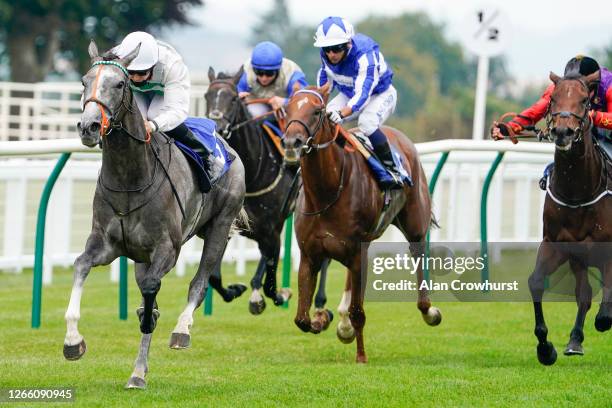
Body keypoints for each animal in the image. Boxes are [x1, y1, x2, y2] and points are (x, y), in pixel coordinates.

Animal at [62, 41, 244, 388]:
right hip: (140, 257)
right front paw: (73, 341)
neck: (129, 178)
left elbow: (151, 296)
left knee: (199, 283)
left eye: (120, 84)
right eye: (83, 81)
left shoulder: (167, 249)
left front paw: (148, 335)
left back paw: (180, 330)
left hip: (221, 224)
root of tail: (227, 146)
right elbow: (80, 266)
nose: (88, 126)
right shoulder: (106, 245)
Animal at [204, 68, 330, 314]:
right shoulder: (232, 226)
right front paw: (236, 290)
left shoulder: (271, 230)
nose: (217, 127)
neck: (255, 172)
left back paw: (319, 302)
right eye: (207, 96)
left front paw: (282, 294)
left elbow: (272, 285)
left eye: (233, 99)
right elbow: (214, 277)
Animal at [282, 83, 440, 364]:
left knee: (418, 254)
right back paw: (342, 323)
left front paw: (361, 356)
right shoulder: (310, 254)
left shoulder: (359, 253)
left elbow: (359, 311)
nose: (292, 143)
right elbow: (301, 319)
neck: (327, 191)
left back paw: (428, 310)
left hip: (414, 223)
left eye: (317, 111)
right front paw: (323, 319)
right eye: (287, 108)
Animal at [528, 70, 608, 366]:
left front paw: (605, 318)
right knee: (583, 295)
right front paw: (545, 348)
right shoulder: (558, 244)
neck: (578, 192)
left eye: (585, 100)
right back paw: (575, 340)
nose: (563, 131)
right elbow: (536, 282)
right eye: (553, 98)